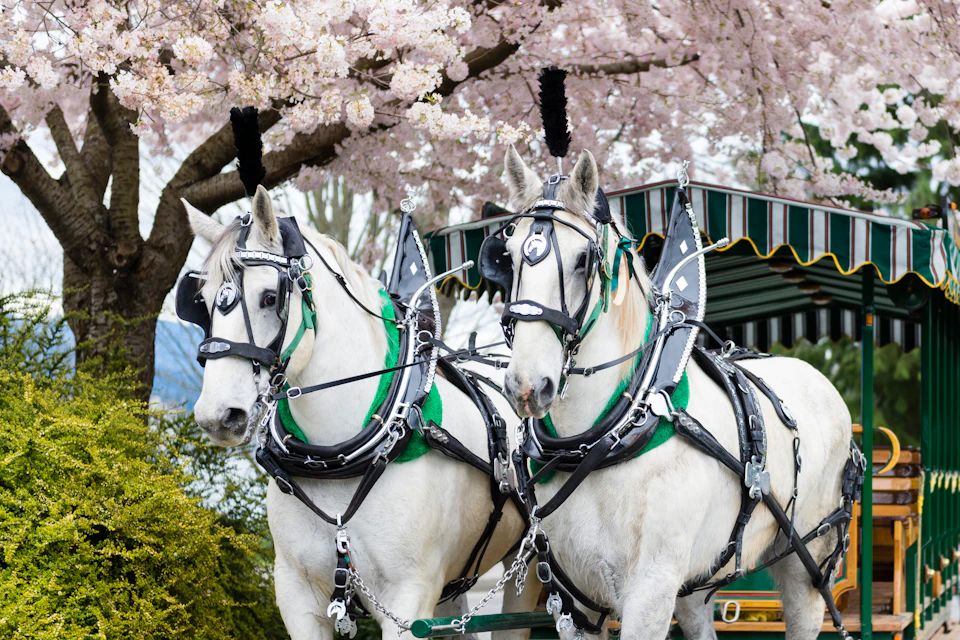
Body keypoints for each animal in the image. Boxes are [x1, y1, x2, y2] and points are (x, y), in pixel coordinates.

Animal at [181, 186, 539, 640]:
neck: (336, 459)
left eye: (269, 297)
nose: (217, 415)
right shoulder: (297, 596)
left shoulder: (407, 602)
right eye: (202, 302)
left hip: (525, 565)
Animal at [494, 145, 853, 640]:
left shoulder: (650, 590)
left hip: (806, 562)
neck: (605, 439)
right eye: (508, 257)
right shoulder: (573, 601)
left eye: (583, 259)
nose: (527, 384)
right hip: (699, 578)